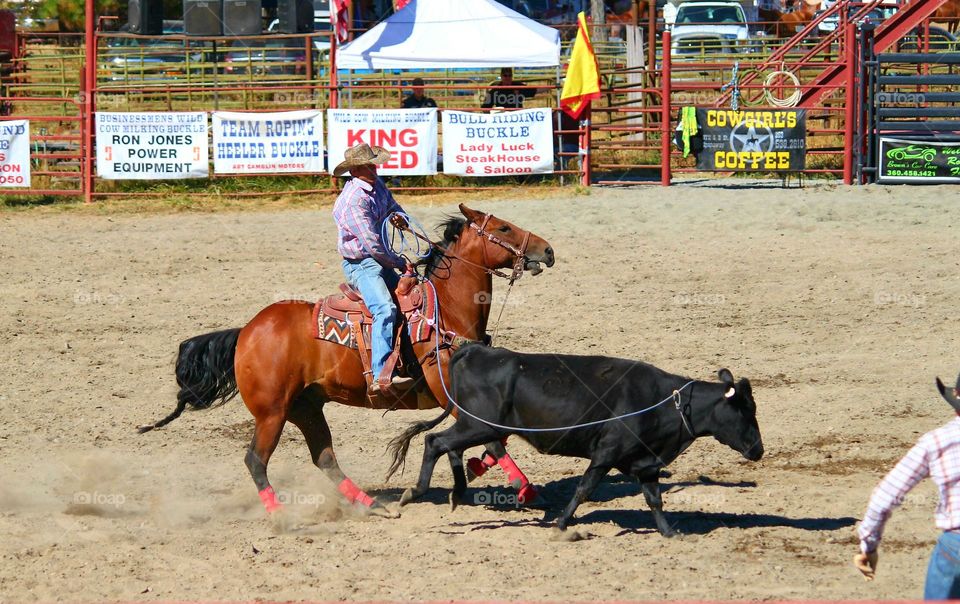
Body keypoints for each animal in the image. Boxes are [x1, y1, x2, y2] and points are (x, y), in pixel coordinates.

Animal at [137, 206, 556, 520]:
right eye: (503, 227)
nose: (548, 250)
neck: (446, 311)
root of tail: (245, 333)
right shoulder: (450, 397)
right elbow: (496, 439)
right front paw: (524, 489)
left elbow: (496, 437)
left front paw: (476, 473)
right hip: (272, 413)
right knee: (256, 460)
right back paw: (280, 516)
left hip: (305, 408)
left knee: (324, 458)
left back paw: (372, 506)